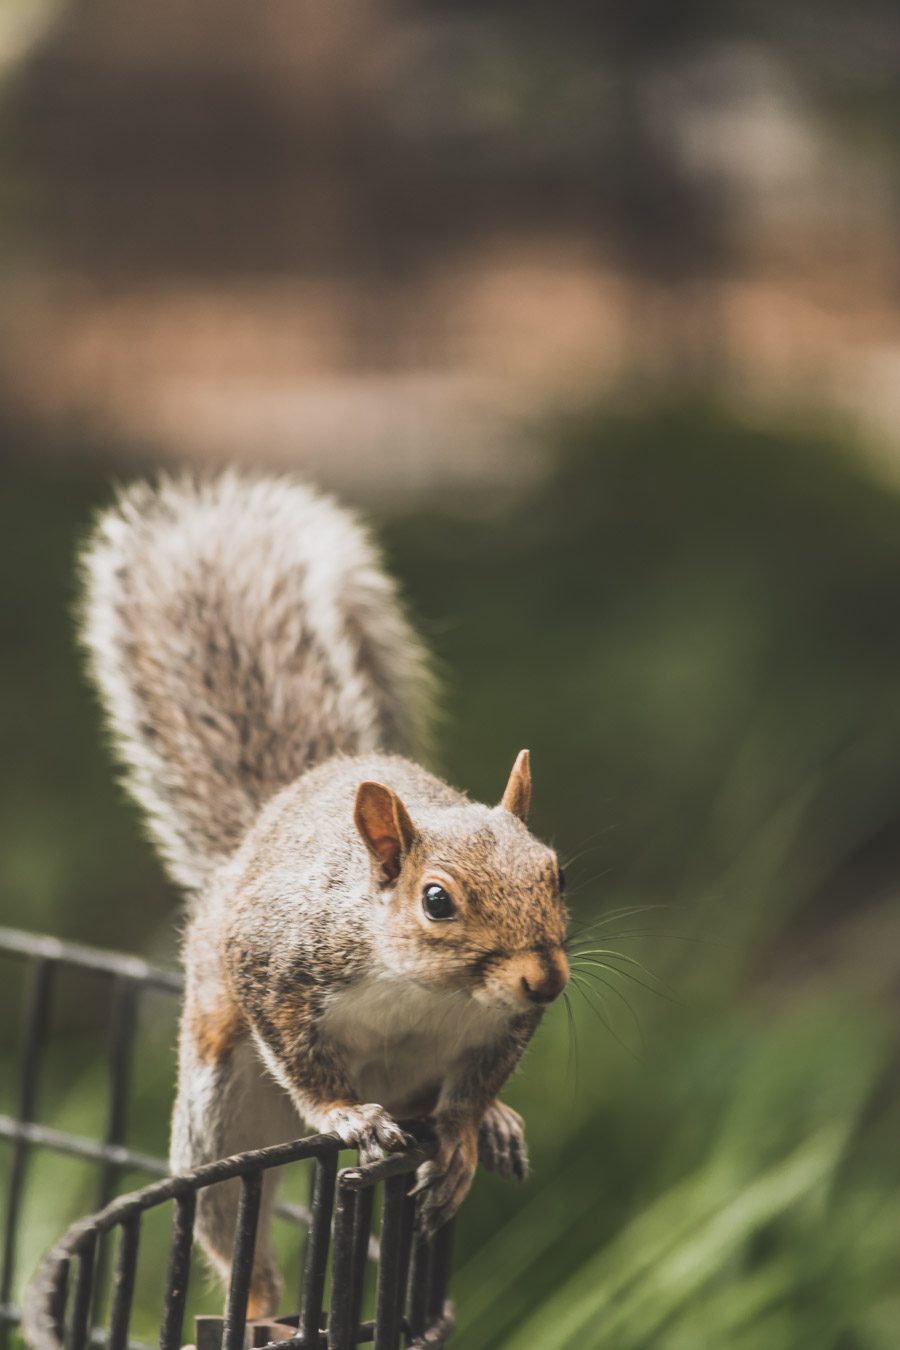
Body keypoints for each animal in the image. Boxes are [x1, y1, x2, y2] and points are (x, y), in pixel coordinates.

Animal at [79, 472, 569, 1317]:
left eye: (557, 873)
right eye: (436, 901)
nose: (546, 981)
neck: (428, 991)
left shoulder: (502, 1026)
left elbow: (473, 1089)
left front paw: (467, 1132)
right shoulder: (277, 957)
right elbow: (299, 1052)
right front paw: (343, 1112)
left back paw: (498, 1124)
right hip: (221, 1112)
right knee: (229, 1223)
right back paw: (256, 1307)